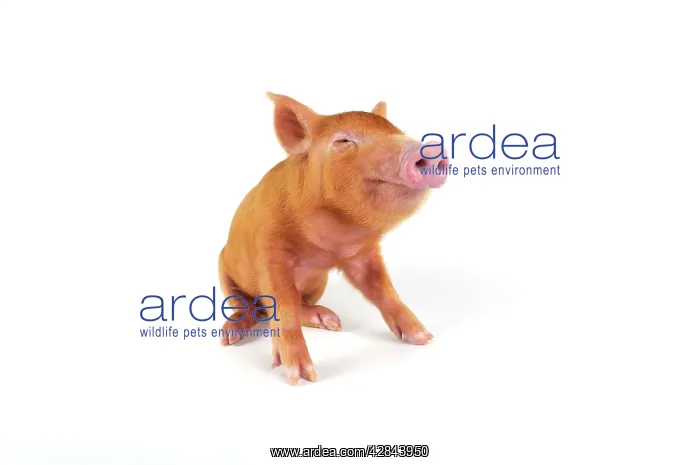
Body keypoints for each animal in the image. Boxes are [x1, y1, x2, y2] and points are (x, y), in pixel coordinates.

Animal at [218, 93, 448, 385]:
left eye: (398, 132)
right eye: (343, 141)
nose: (428, 150)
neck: (328, 246)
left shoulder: (361, 255)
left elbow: (383, 289)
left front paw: (424, 337)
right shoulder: (269, 250)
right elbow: (284, 302)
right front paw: (301, 376)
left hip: (318, 284)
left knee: (300, 304)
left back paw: (331, 321)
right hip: (224, 270)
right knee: (247, 305)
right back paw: (230, 336)